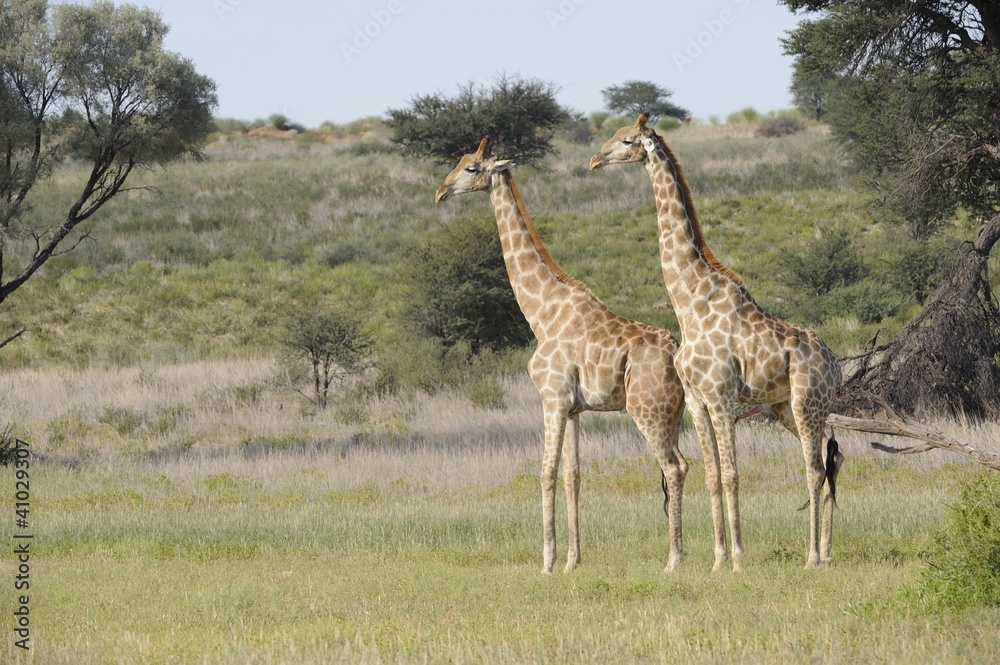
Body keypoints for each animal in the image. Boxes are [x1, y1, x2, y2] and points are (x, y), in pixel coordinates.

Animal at [435, 138, 688, 574]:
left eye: (471, 168)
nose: (440, 192)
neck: (541, 311)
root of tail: (674, 349)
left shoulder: (551, 398)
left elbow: (545, 472)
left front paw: (547, 562)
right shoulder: (573, 408)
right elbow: (573, 475)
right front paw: (572, 561)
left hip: (646, 411)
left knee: (671, 467)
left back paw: (672, 560)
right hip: (672, 414)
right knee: (684, 465)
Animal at [590, 115, 842, 570]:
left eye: (628, 140)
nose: (596, 160)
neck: (690, 303)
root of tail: (837, 365)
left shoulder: (723, 398)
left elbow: (731, 474)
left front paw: (739, 557)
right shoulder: (696, 401)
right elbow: (710, 475)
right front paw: (718, 559)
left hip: (807, 402)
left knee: (814, 469)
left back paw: (812, 556)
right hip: (787, 407)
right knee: (828, 464)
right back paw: (827, 552)